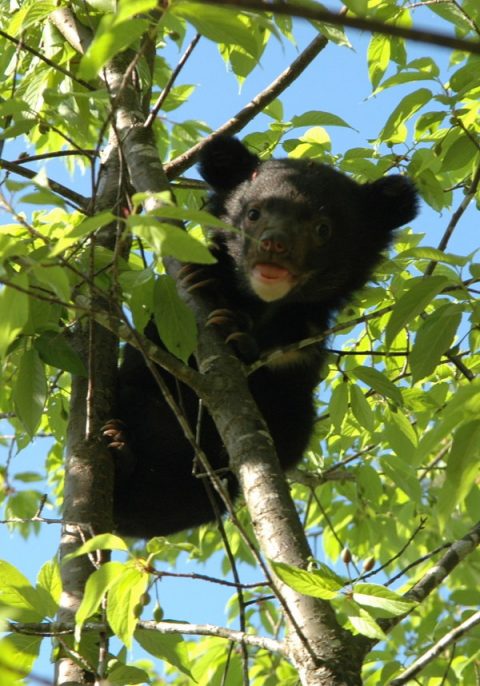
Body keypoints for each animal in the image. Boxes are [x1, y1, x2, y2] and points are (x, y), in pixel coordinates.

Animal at [105, 136, 419, 538]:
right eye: (253, 214)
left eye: (322, 228)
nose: (274, 244)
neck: (263, 305)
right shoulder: (167, 320)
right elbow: (159, 350)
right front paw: (205, 278)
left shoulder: (302, 346)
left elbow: (282, 394)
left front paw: (236, 333)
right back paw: (117, 446)